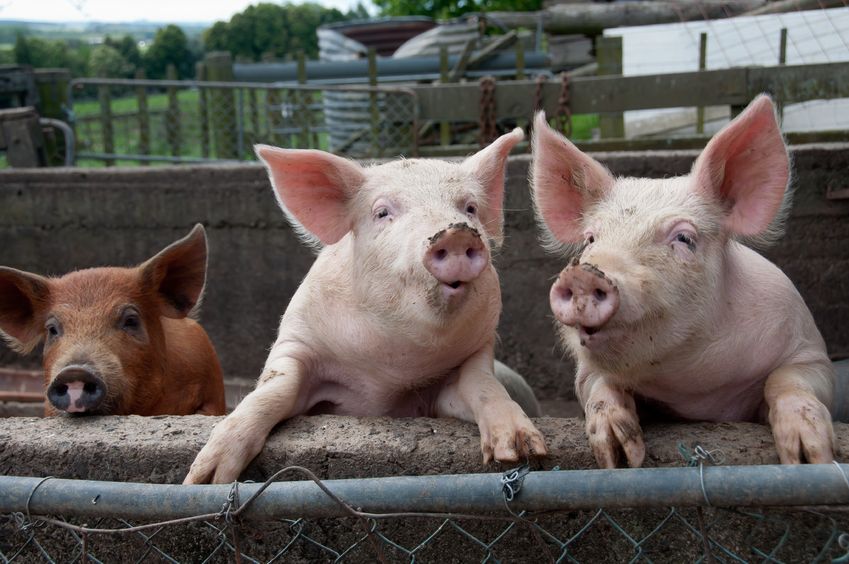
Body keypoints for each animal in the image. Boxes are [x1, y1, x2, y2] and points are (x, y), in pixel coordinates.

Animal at [182, 128, 548, 484]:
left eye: (469, 208)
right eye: (382, 212)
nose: (456, 234)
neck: (390, 374)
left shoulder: (474, 355)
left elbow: (483, 385)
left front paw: (523, 450)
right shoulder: (297, 340)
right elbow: (275, 388)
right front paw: (207, 478)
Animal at [528, 96, 840, 468]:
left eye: (684, 238)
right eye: (591, 239)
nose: (584, 274)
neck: (694, 388)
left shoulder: (808, 349)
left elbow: (788, 379)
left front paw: (810, 457)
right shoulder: (587, 373)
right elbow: (601, 386)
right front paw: (619, 456)